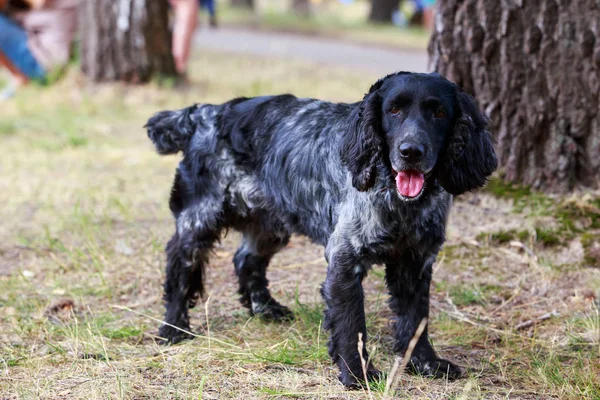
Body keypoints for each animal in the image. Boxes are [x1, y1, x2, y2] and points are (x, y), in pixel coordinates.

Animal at [144, 72, 496, 388]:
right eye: (393, 110)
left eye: (439, 113)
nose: (411, 152)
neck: (399, 202)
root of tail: (204, 112)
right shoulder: (345, 258)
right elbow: (352, 325)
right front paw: (358, 374)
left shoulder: (415, 261)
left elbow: (416, 320)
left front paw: (426, 363)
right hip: (199, 219)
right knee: (178, 264)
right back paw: (173, 328)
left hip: (270, 224)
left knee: (246, 259)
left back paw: (266, 309)